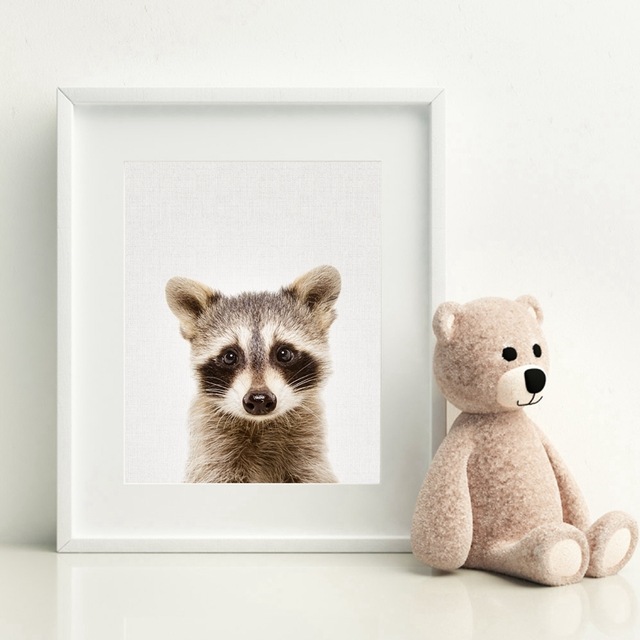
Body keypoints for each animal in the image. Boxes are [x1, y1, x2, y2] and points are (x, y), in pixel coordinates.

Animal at [165, 265, 340, 483]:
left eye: (284, 353)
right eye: (230, 356)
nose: (259, 399)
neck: (261, 425)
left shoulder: (308, 453)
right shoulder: (213, 451)